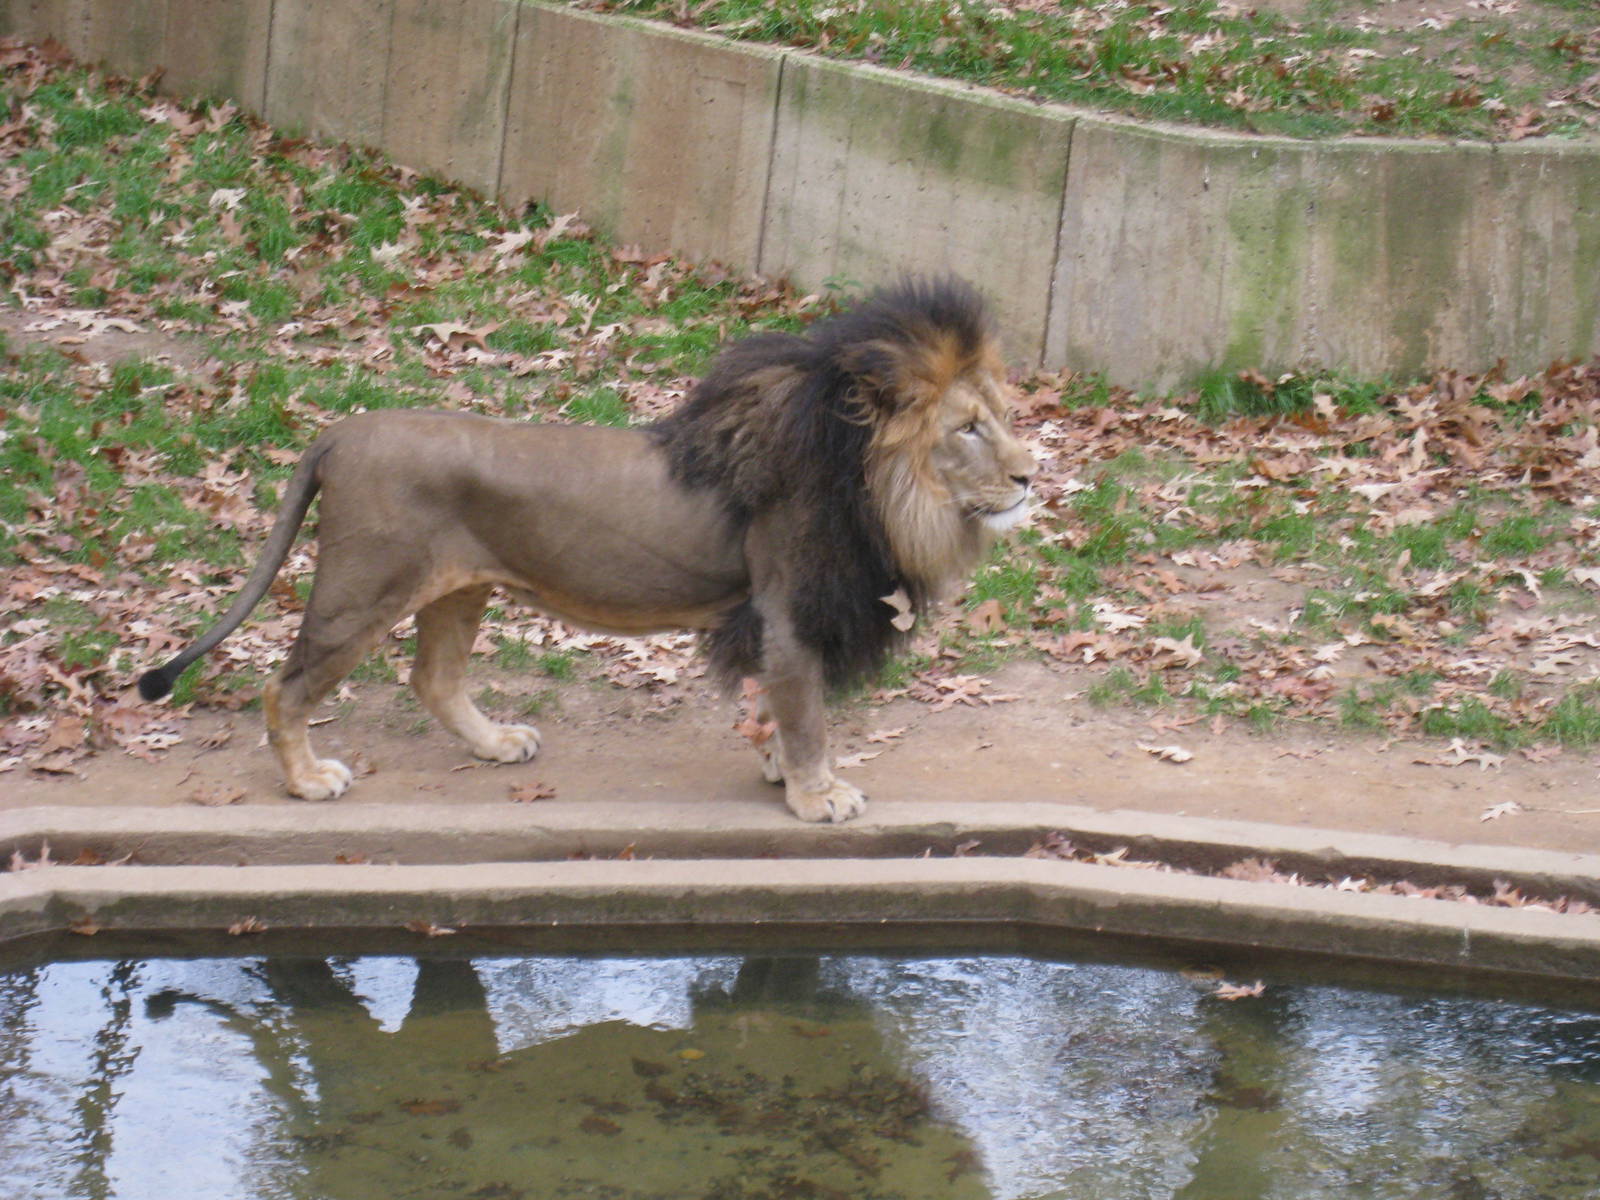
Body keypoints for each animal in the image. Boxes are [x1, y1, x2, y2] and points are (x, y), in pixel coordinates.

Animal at [137, 277, 1037, 822]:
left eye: (1000, 416)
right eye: (967, 428)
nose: (1032, 474)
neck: (881, 487)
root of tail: (339, 432)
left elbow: (779, 711)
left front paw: (781, 771)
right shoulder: (787, 611)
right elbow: (806, 711)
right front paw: (818, 795)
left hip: (458, 590)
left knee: (434, 680)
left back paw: (497, 744)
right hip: (362, 591)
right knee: (284, 688)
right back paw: (307, 780)